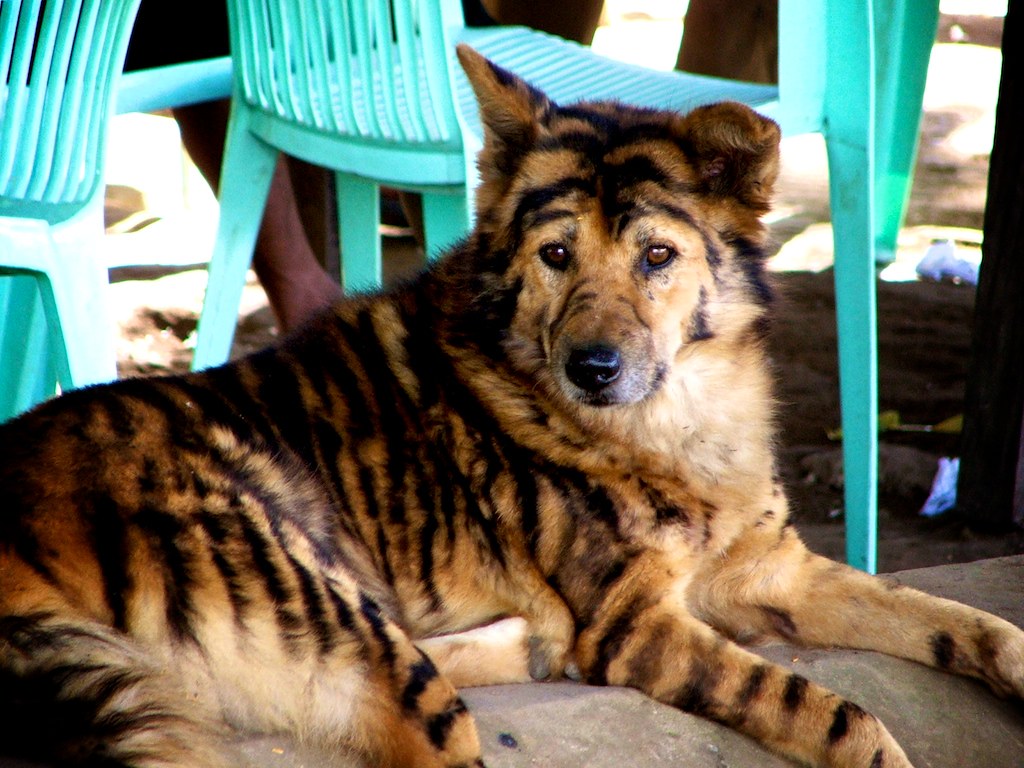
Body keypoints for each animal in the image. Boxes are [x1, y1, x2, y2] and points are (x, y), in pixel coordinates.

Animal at [1, 43, 1022, 768]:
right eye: (556, 255)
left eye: (657, 256)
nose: (592, 370)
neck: (679, 420)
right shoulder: (636, 630)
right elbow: (836, 713)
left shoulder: (774, 574)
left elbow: (949, 616)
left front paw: (1003, 658)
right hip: (354, 630)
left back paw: (526, 642)